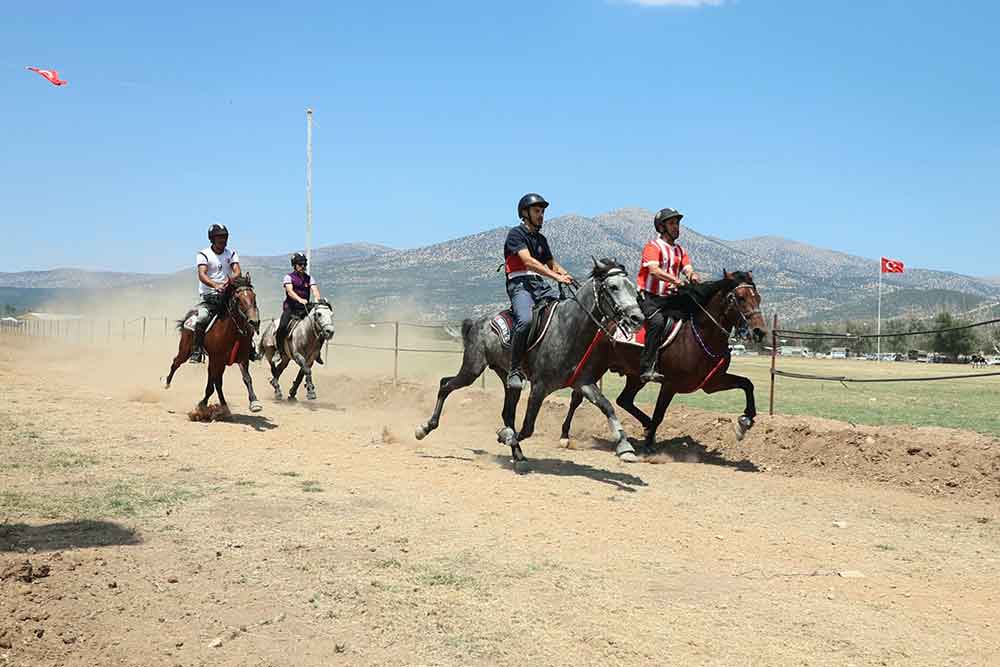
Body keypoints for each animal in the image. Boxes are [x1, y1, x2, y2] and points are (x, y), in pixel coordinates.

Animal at [161, 276, 262, 412]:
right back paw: (167, 383)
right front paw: (201, 405)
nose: (254, 322)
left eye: (254, 296)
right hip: (185, 351)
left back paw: (224, 405)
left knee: (218, 383)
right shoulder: (215, 360)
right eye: (237, 298)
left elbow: (247, 378)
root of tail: (190, 317)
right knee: (176, 362)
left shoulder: (242, 358)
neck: (232, 332)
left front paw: (254, 402)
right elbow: (211, 385)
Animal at [416, 260, 644, 464]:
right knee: (445, 385)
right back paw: (424, 428)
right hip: (472, 368)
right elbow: (527, 427)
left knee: (506, 412)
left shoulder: (583, 382)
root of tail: (476, 322)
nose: (637, 318)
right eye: (613, 287)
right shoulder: (539, 387)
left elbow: (607, 406)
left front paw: (625, 446)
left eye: (634, 290)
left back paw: (518, 456)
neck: (568, 328)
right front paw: (505, 435)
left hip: (507, 378)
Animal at [556, 272, 764, 454]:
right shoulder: (670, 384)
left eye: (758, 297)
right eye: (740, 298)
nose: (759, 331)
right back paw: (565, 435)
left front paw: (745, 422)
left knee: (624, 400)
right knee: (578, 396)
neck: (698, 335)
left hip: (635, 375)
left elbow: (747, 384)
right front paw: (648, 445)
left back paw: (647, 427)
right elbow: (659, 414)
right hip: (596, 365)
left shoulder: (712, 383)